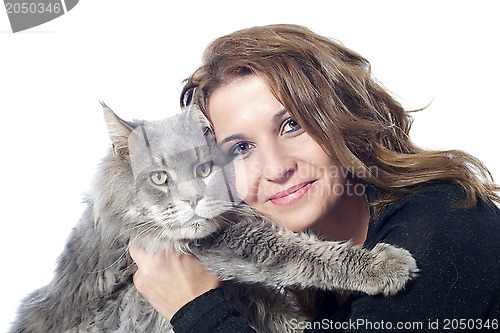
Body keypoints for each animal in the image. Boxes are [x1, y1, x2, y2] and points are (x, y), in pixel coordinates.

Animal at [9, 101, 418, 332]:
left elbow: (269, 301)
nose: (193, 198)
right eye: (160, 178)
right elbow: (300, 253)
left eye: (204, 169)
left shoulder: (236, 275)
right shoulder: (222, 246)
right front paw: (382, 266)